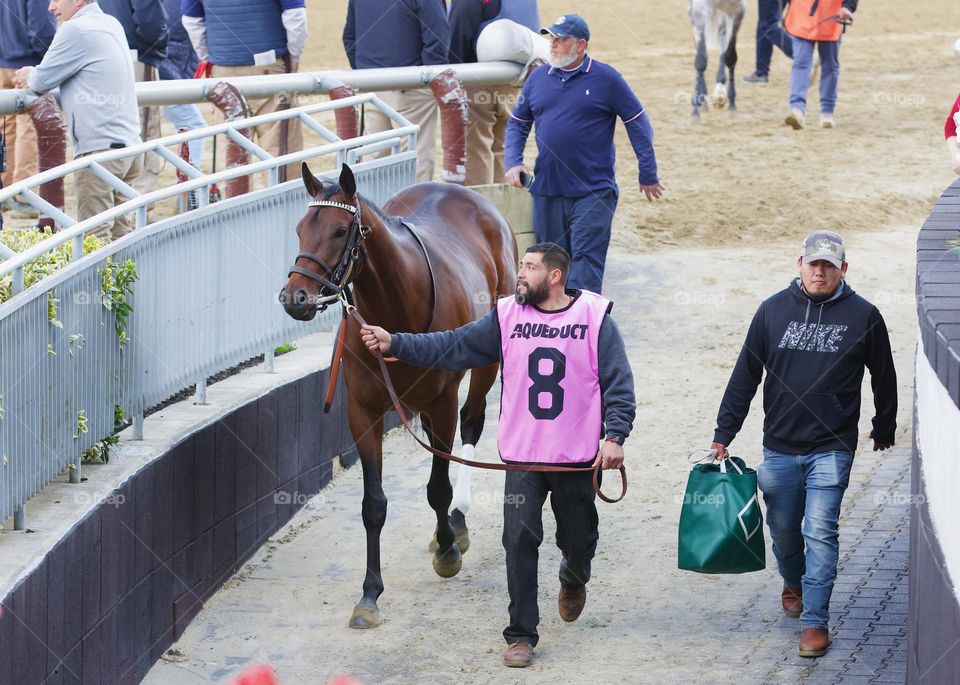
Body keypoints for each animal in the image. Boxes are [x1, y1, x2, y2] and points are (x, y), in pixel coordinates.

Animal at [278, 163, 516, 628]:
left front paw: (447, 550)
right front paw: (370, 594)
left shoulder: (441, 402)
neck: (397, 306)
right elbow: (373, 504)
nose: (295, 297)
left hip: (485, 360)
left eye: (339, 231)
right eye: (300, 228)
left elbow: (438, 486)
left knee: (473, 422)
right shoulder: (362, 409)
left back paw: (457, 523)